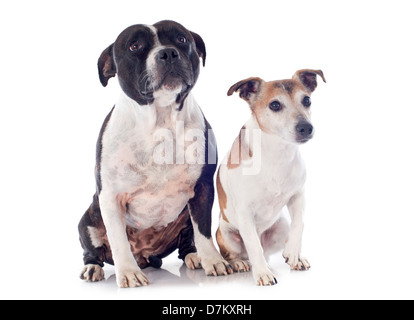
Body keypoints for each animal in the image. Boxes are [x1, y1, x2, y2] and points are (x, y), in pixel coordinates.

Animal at [79, 21, 231, 288]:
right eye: (134, 46)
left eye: (181, 39)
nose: (168, 53)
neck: (161, 120)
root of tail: (145, 256)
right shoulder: (110, 197)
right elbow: (118, 240)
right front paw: (128, 272)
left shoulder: (202, 188)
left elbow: (203, 229)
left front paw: (213, 261)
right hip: (88, 220)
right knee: (93, 250)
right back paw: (93, 268)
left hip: (184, 217)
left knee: (188, 242)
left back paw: (195, 256)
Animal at [215, 69, 326, 284]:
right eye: (275, 105)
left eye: (307, 100)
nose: (306, 127)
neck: (277, 152)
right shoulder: (244, 212)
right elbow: (253, 244)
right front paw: (263, 274)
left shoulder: (298, 197)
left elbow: (299, 225)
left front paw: (293, 253)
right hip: (226, 233)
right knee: (239, 253)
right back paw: (242, 263)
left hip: (281, 225)